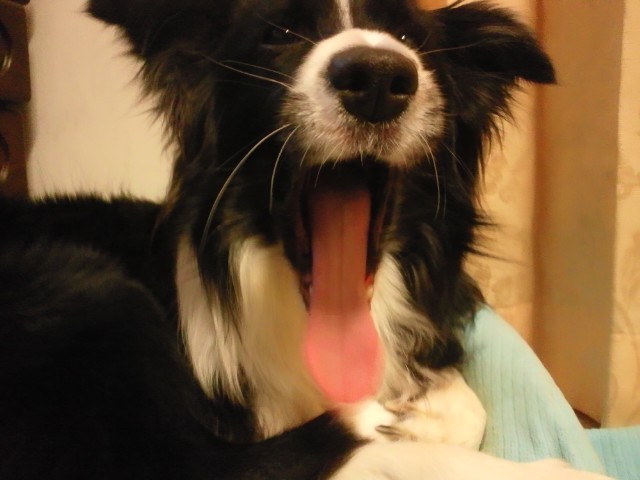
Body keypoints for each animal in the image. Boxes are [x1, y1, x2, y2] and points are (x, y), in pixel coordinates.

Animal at [0, 0, 613, 479]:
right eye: (279, 33)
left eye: (411, 39)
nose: (376, 78)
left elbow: (469, 405)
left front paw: (423, 412)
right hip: (92, 290)